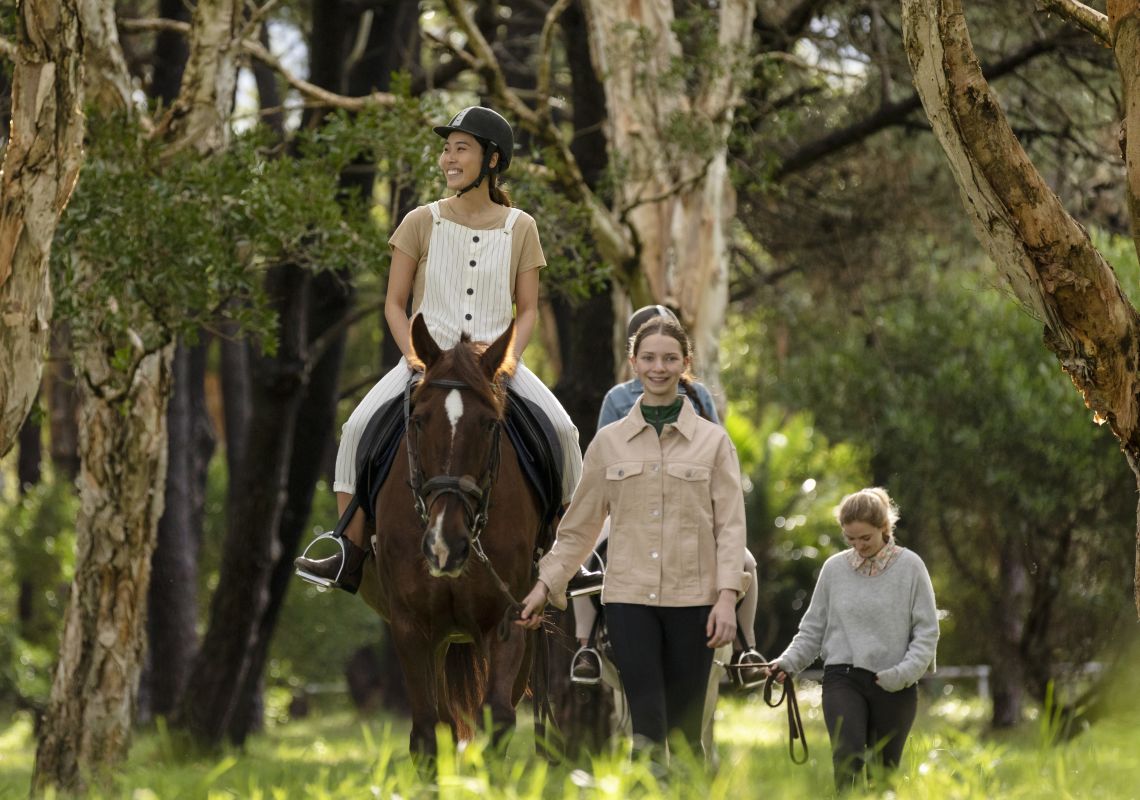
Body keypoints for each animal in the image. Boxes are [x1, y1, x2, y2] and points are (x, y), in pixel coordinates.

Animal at [357, 314, 549, 756]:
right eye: (418, 421)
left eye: (490, 424)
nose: (445, 547)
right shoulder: (409, 625)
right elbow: (428, 732)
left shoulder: (508, 617)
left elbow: (498, 717)